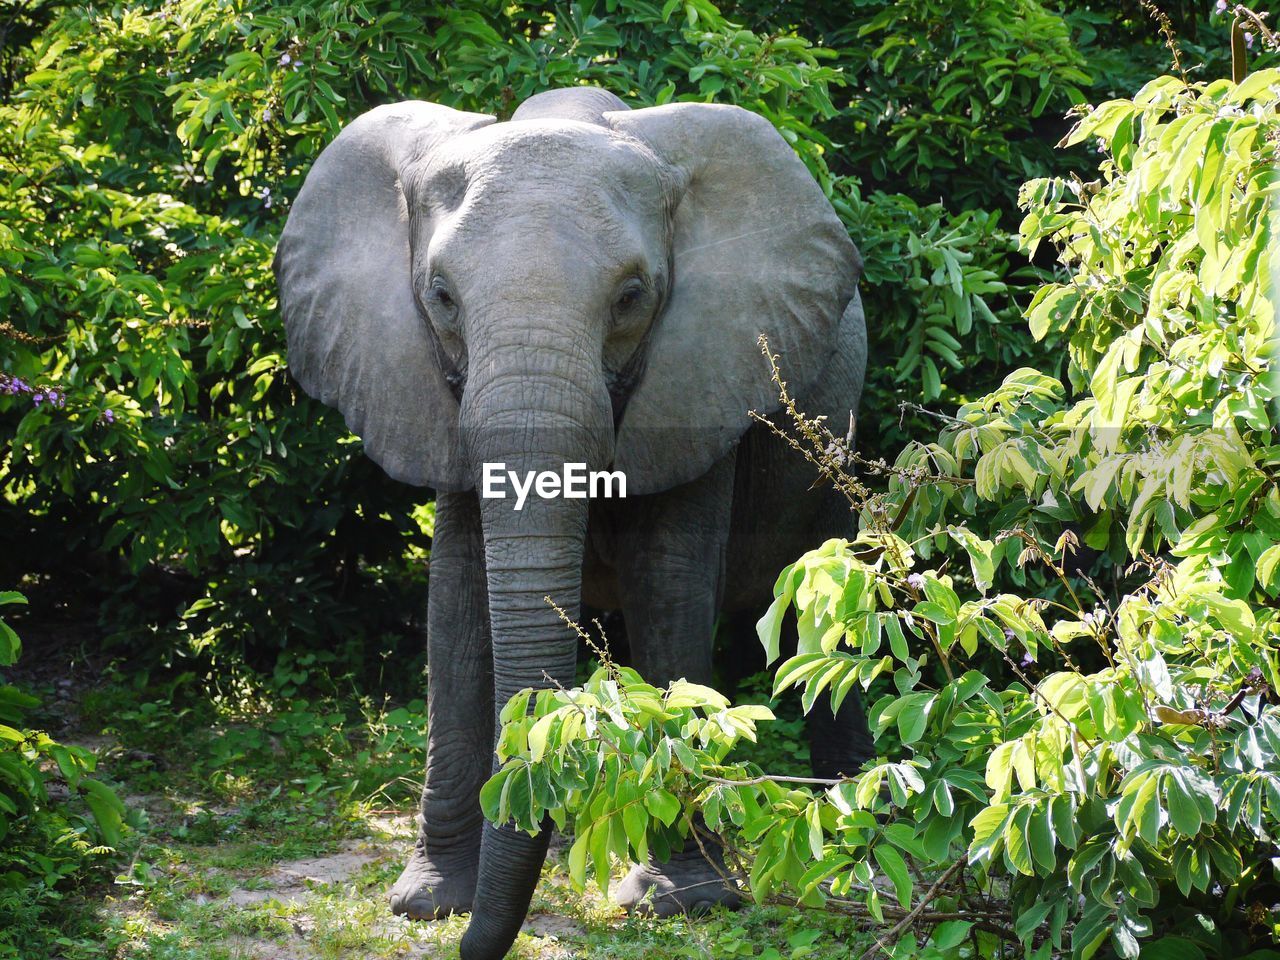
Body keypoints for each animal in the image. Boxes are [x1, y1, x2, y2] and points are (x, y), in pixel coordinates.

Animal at [275, 86, 875, 957]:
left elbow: (667, 598)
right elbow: (457, 613)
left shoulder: (700, 379)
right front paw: (428, 902)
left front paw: (681, 902)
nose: (471, 948)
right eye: (441, 297)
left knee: (828, 614)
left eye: (631, 297)